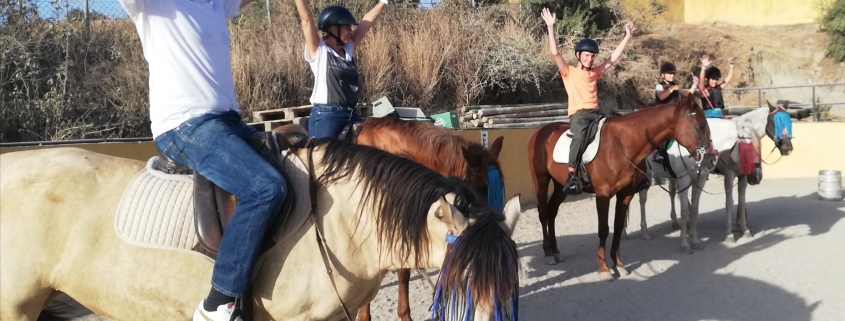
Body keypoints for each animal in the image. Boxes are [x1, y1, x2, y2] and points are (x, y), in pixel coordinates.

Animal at [528, 93, 712, 280]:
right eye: (700, 125)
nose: (710, 159)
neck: (622, 145)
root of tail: (541, 131)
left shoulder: (625, 193)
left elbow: (617, 227)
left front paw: (619, 265)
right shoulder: (602, 194)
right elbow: (603, 229)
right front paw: (603, 269)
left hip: (560, 186)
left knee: (552, 211)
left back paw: (556, 251)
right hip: (541, 181)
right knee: (543, 213)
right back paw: (548, 254)